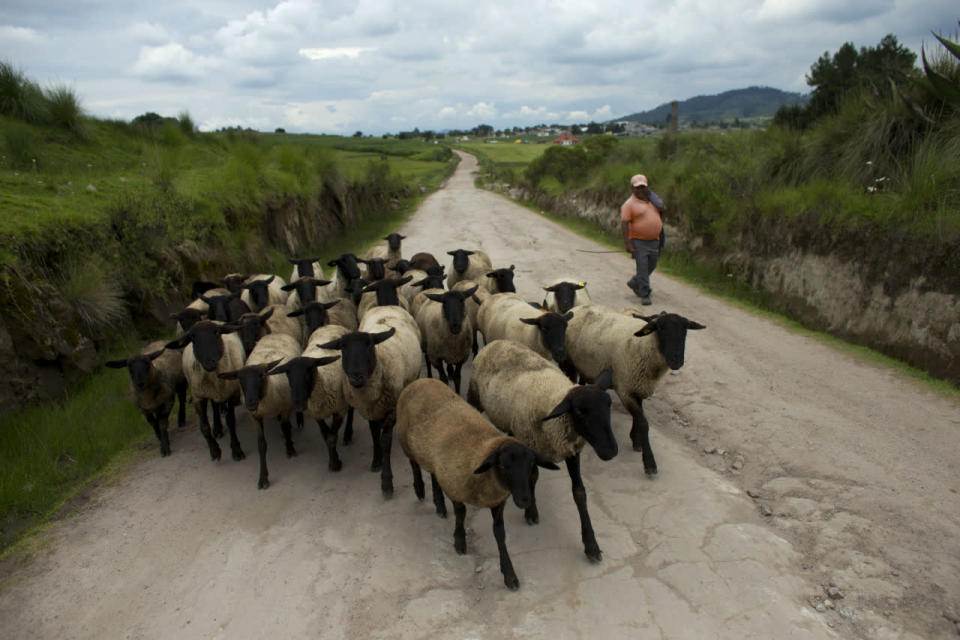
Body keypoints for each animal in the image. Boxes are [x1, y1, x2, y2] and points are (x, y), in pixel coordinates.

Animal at [167, 320, 248, 464]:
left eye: (217, 332)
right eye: (192, 338)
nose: (209, 362)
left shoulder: (232, 394)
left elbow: (231, 421)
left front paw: (236, 450)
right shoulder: (198, 397)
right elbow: (204, 426)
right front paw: (215, 451)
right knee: (214, 405)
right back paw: (217, 428)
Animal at [398, 378, 564, 592]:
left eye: (531, 465)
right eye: (502, 465)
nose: (525, 500)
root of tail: (419, 380)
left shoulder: (498, 502)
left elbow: (499, 533)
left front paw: (509, 574)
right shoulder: (455, 488)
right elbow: (461, 514)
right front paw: (459, 541)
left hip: (431, 455)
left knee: (433, 475)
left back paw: (439, 505)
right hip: (407, 443)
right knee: (414, 464)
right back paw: (420, 489)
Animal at [468, 340, 620, 560]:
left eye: (608, 404)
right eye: (580, 411)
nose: (610, 450)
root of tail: (496, 342)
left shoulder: (571, 450)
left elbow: (579, 492)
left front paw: (591, 544)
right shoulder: (531, 446)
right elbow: (532, 478)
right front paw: (531, 511)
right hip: (474, 396)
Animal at [564, 304, 704, 476]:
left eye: (685, 330)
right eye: (660, 328)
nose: (676, 360)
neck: (644, 347)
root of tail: (578, 307)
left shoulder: (639, 386)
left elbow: (639, 416)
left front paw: (636, 440)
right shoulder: (625, 390)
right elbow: (643, 422)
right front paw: (649, 462)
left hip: (586, 366)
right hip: (569, 362)